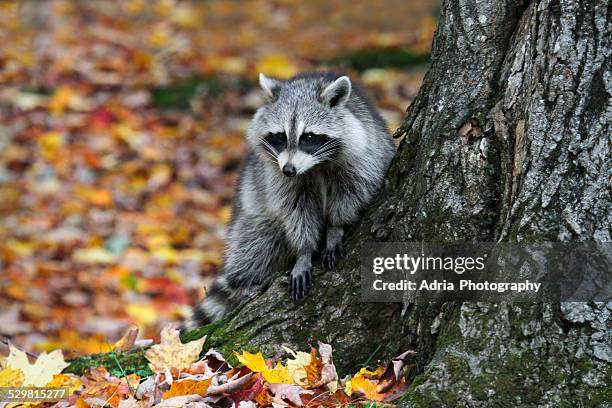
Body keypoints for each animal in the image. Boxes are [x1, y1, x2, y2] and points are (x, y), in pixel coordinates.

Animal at [186, 71, 394, 328]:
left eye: (309, 137)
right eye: (280, 137)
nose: (289, 170)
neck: (315, 166)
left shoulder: (363, 157)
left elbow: (351, 194)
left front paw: (335, 228)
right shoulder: (279, 178)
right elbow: (296, 212)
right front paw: (304, 252)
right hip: (252, 215)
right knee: (257, 244)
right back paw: (245, 281)